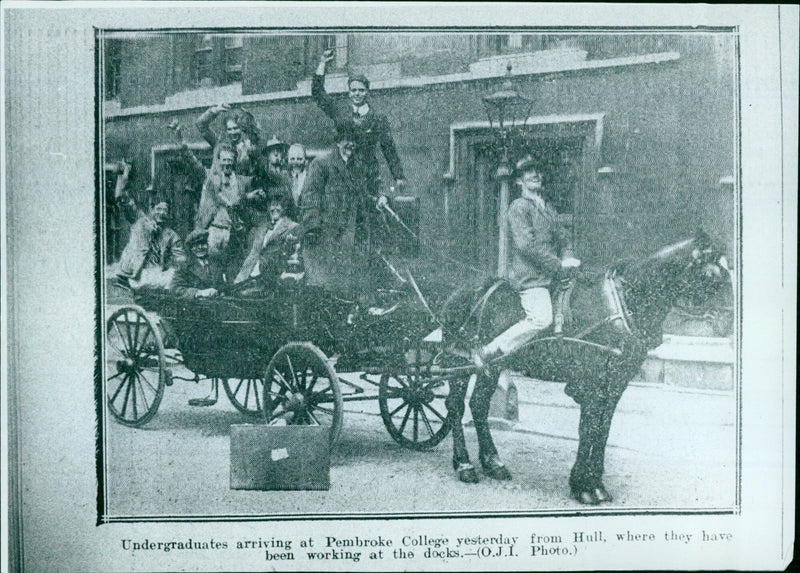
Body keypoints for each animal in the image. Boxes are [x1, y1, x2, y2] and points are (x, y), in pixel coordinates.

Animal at [440, 230, 728, 502]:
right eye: (710, 274)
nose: (726, 321)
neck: (619, 304)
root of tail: (458, 292)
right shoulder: (593, 382)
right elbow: (588, 428)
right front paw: (582, 486)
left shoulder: (615, 384)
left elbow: (603, 430)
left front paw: (596, 484)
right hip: (458, 360)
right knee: (455, 406)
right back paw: (464, 464)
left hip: (492, 367)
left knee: (478, 404)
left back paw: (493, 463)